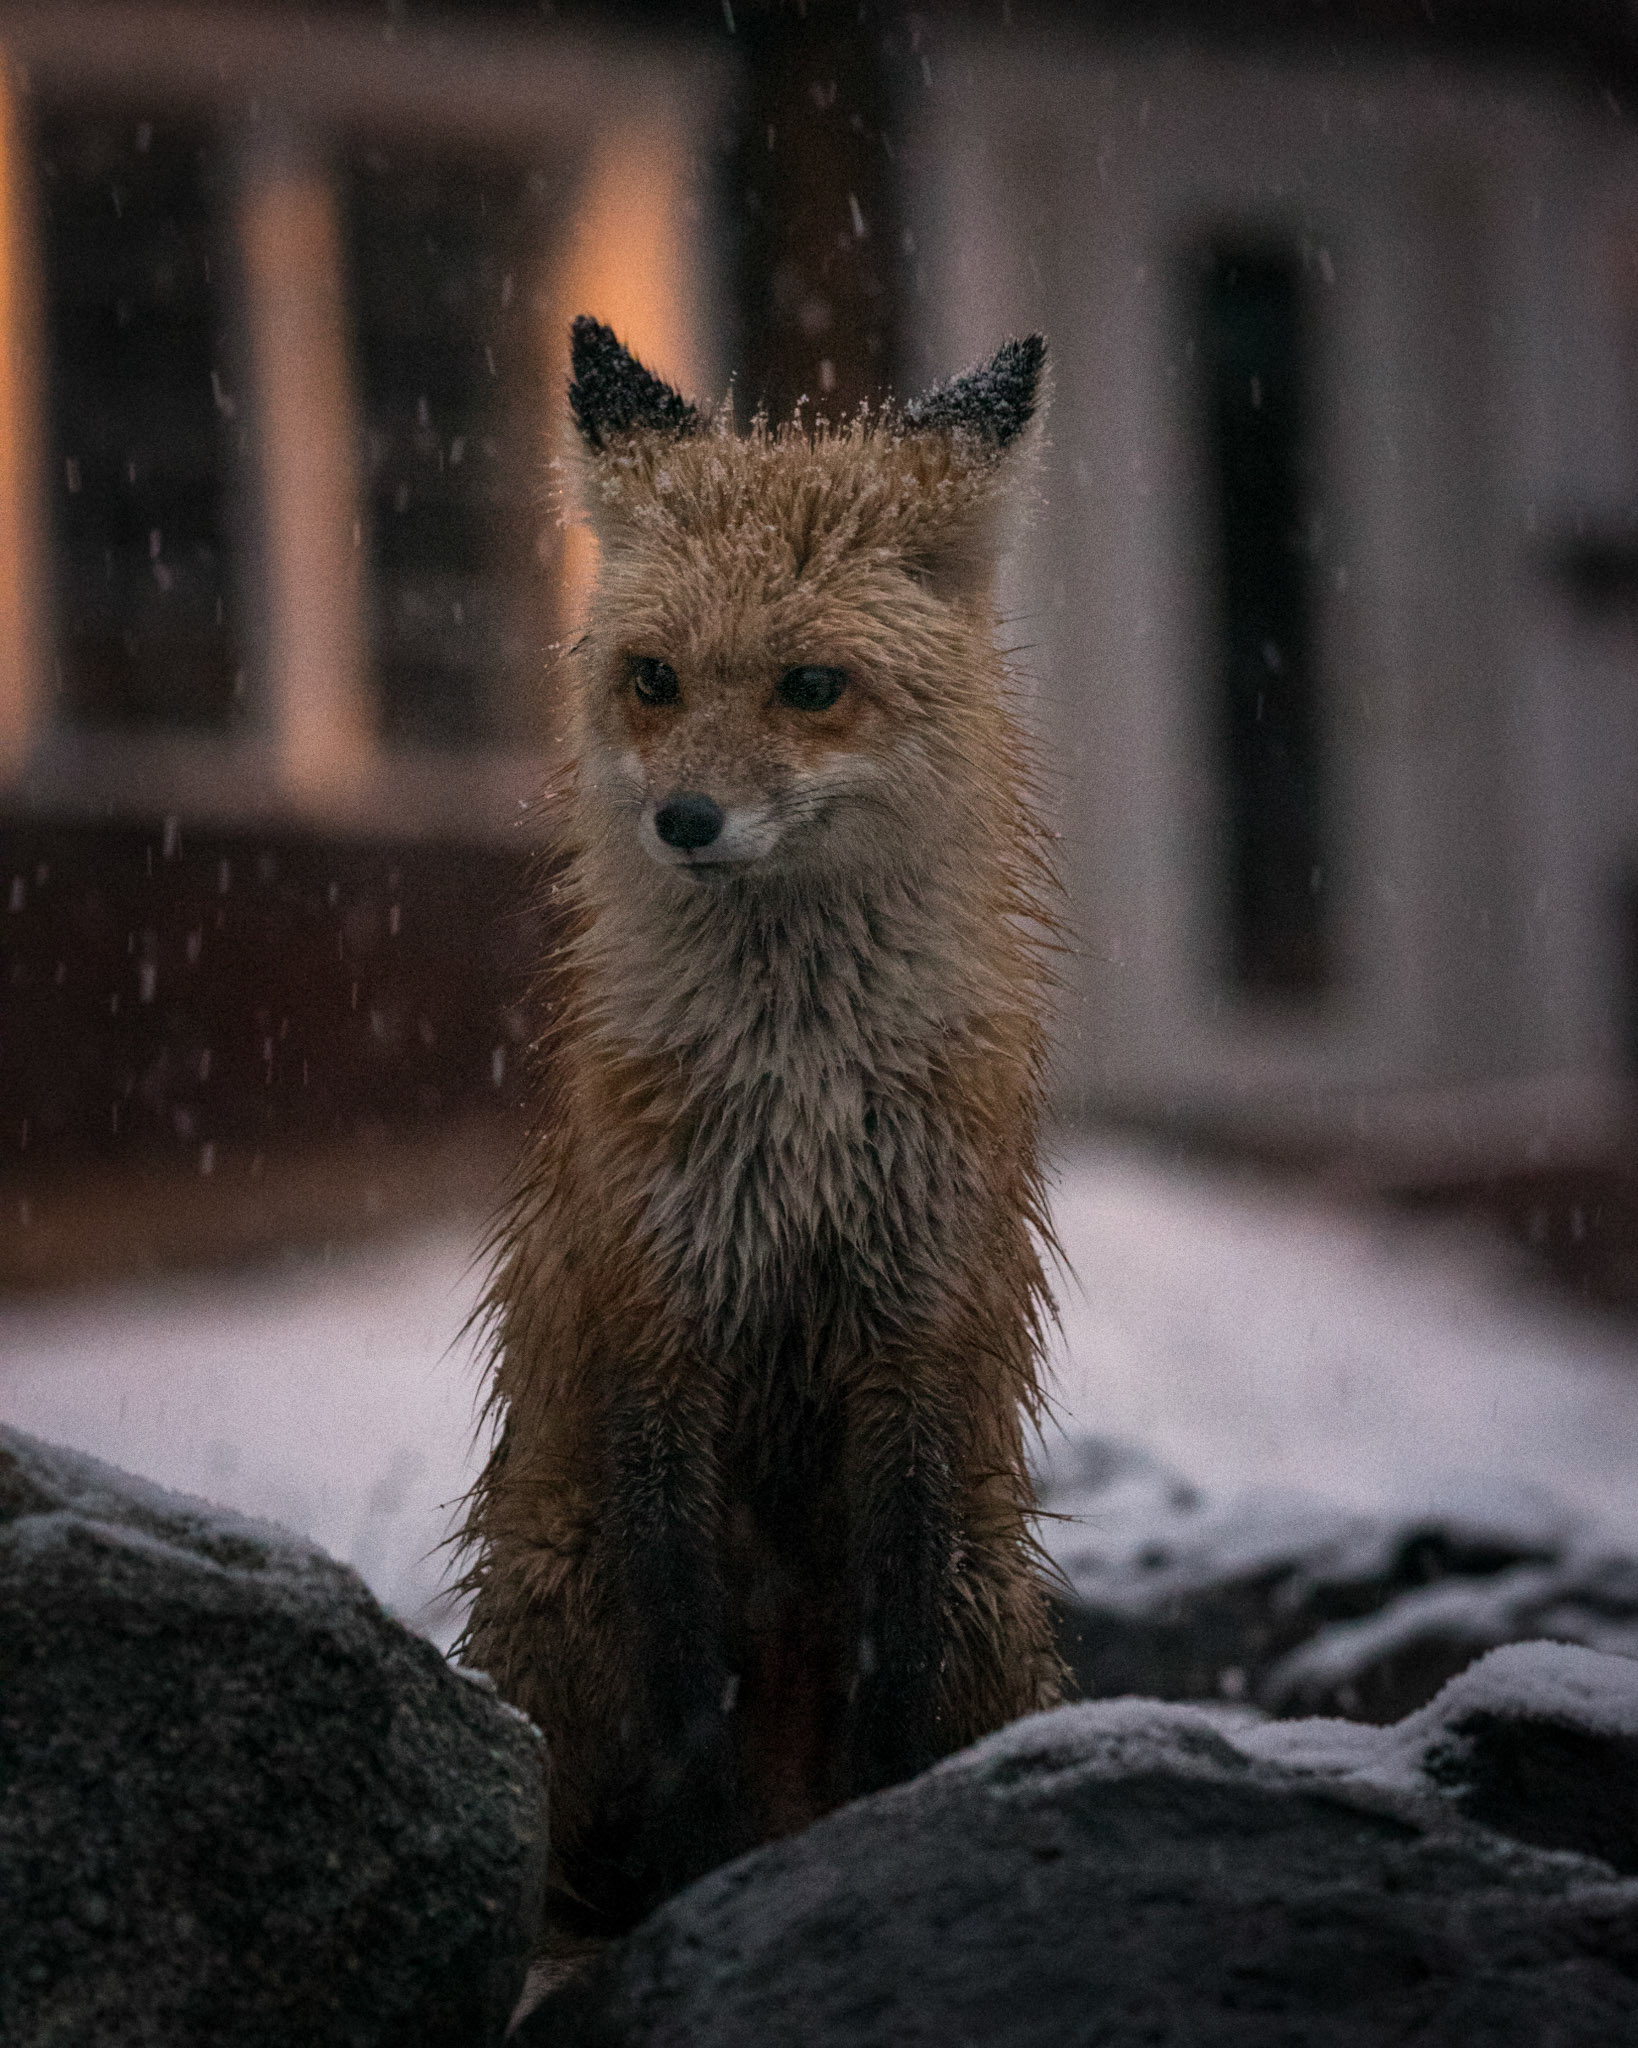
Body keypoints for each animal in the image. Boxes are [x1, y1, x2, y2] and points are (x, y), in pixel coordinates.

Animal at [458, 316, 1065, 1941]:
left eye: (810, 685)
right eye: (655, 680)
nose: (684, 821)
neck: (793, 1109)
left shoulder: (912, 1340)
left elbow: (890, 1678)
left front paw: (882, 1837)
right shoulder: (660, 1335)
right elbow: (689, 1697)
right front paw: (707, 1877)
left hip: (993, 1586)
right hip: (557, 1584)